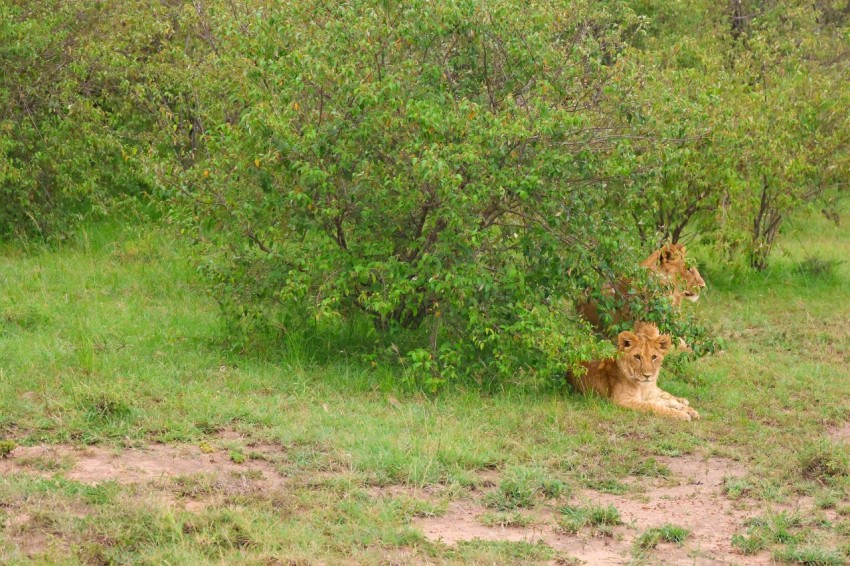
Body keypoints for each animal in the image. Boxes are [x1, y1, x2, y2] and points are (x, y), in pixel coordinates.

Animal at [567, 322, 700, 421]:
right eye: (637, 357)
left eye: (654, 357)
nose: (647, 376)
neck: (643, 387)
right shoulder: (623, 400)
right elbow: (654, 406)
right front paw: (681, 414)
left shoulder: (649, 395)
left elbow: (665, 402)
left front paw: (689, 410)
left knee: (667, 395)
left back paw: (684, 402)